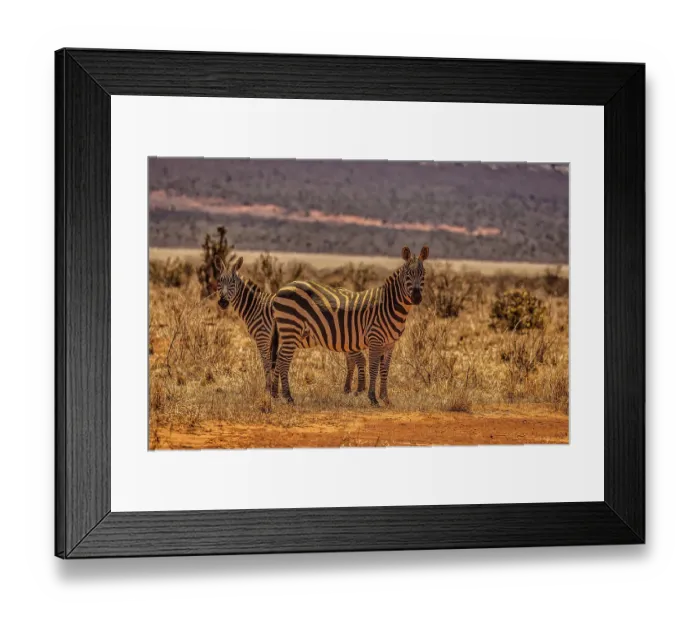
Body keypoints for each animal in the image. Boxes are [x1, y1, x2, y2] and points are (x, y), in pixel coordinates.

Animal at [214, 256, 367, 397]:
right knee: (351, 360)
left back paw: (356, 390)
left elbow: (267, 364)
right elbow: (275, 363)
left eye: (233, 282)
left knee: (357, 359)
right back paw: (347, 389)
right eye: (219, 281)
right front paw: (277, 390)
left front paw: (269, 389)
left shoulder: (263, 337)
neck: (256, 306)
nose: (222, 303)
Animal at [270, 245, 429, 406]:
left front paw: (385, 398)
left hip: (289, 332)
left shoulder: (390, 344)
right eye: (408, 274)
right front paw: (372, 398)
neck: (388, 306)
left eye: (423, 274)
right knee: (283, 359)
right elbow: (373, 368)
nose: (417, 298)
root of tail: (281, 289)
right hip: (291, 328)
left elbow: (385, 369)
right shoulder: (375, 339)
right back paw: (287, 396)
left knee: (279, 357)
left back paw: (275, 393)